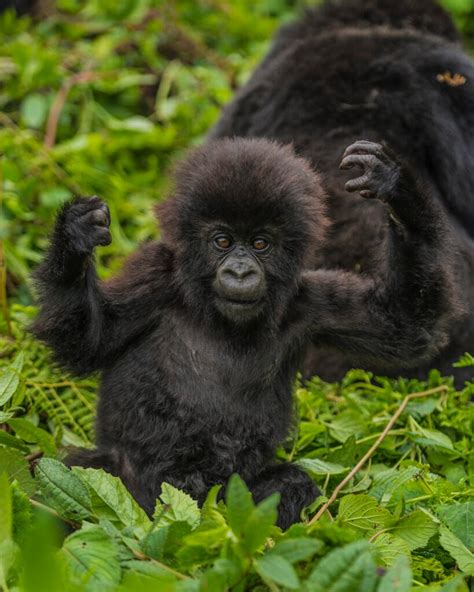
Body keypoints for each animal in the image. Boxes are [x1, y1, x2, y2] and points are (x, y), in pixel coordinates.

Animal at [33, 135, 456, 528]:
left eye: (260, 243)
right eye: (222, 241)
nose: (239, 271)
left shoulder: (308, 303)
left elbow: (404, 325)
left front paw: (396, 189)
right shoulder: (153, 276)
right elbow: (88, 341)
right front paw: (73, 239)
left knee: (289, 484)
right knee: (79, 473)